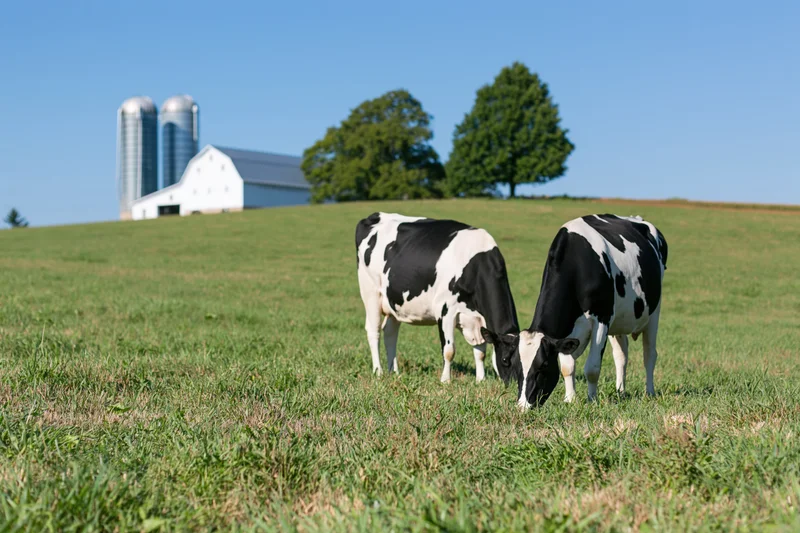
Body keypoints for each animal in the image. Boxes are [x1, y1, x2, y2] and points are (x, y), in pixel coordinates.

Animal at [355, 212, 520, 383]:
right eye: (505, 360)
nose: (515, 384)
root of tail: (376, 215)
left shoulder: (477, 319)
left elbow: (480, 352)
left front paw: (480, 380)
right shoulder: (445, 309)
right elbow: (449, 350)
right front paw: (445, 380)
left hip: (395, 301)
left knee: (390, 332)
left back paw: (394, 372)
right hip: (371, 293)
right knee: (374, 331)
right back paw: (378, 371)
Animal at [481, 214, 668, 409]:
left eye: (544, 365)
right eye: (513, 364)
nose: (523, 406)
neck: (578, 264)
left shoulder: (602, 318)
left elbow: (592, 367)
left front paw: (592, 400)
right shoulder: (566, 330)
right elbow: (567, 367)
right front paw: (570, 399)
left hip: (654, 312)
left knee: (649, 355)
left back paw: (649, 392)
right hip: (620, 320)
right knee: (621, 355)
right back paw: (620, 391)